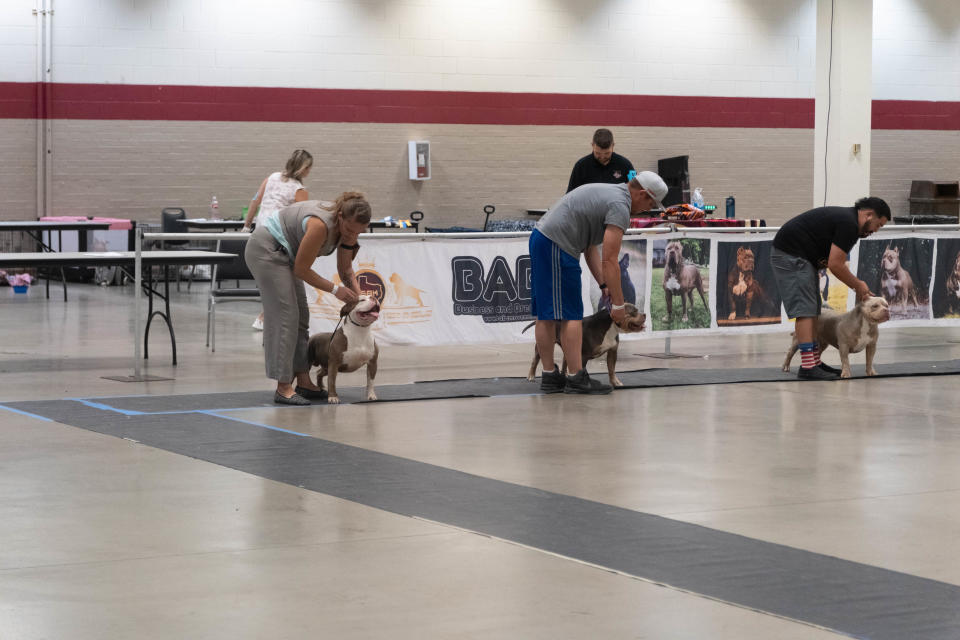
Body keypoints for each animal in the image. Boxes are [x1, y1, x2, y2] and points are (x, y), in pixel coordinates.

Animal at [520, 304, 648, 388]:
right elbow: (582, 370)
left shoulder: (612, 352)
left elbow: (611, 370)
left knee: (565, 360)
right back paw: (531, 376)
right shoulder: (583, 356)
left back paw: (565, 374)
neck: (610, 326)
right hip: (541, 346)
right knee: (535, 360)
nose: (645, 314)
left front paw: (615, 382)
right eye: (634, 311)